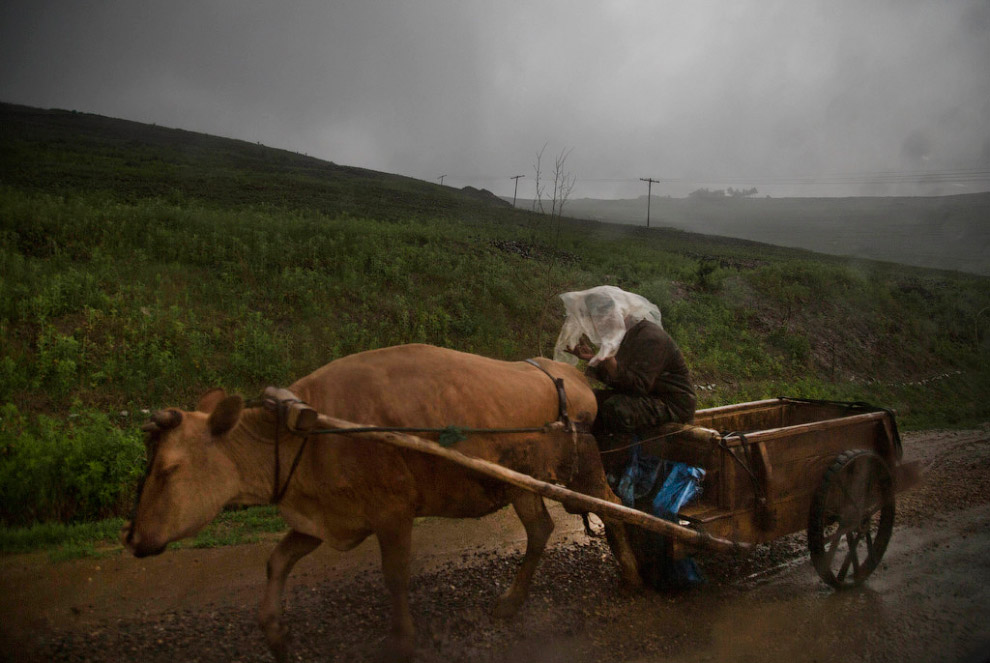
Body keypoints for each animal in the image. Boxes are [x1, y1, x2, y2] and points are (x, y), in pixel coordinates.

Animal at [122, 344, 644, 660]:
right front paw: (275, 635)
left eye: (168, 469)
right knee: (540, 529)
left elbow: (394, 576)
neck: (307, 430)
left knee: (614, 508)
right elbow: (276, 562)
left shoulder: (392, 509)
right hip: (521, 483)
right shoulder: (325, 518)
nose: (133, 537)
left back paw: (632, 576)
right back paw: (511, 603)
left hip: (584, 468)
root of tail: (571, 376)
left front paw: (401, 641)